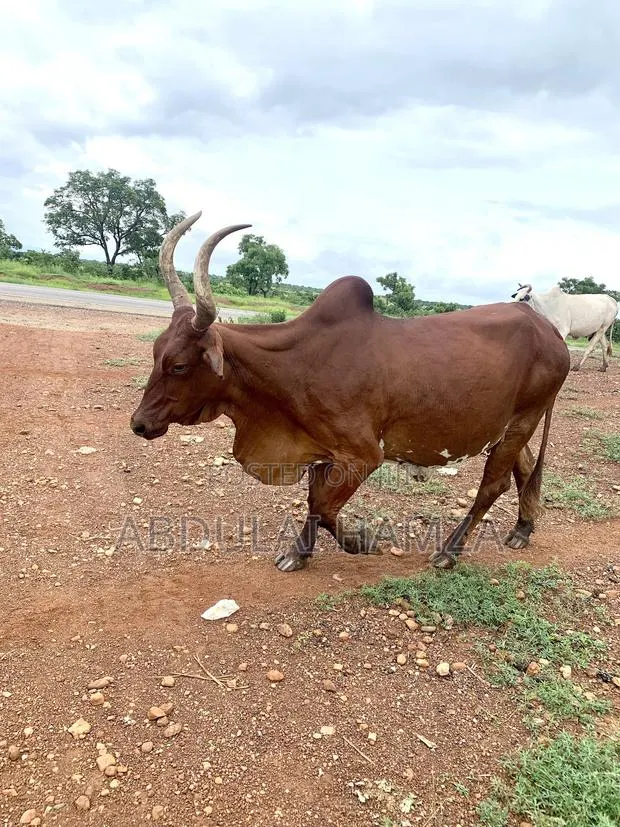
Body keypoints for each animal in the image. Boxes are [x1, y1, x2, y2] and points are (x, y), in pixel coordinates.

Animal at [130, 213, 570, 572]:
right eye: (155, 353)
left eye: (179, 365)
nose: (139, 424)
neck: (293, 367)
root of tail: (549, 329)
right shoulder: (321, 451)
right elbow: (314, 502)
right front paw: (300, 554)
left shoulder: (363, 455)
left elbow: (325, 506)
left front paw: (362, 543)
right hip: (511, 426)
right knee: (524, 468)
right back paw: (523, 529)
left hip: (524, 419)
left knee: (493, 485)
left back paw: (449, 551)